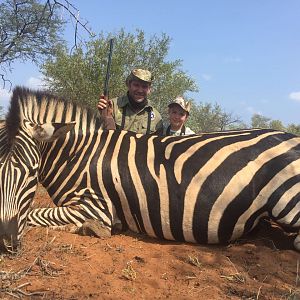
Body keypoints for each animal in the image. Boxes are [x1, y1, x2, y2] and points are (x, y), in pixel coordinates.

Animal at [0, 86, 300, 251]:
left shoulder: (95, 206)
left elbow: (35, 214)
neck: (79, 155)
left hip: (288, 205)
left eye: (31, 172)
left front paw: (91, 229)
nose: (6, 242)